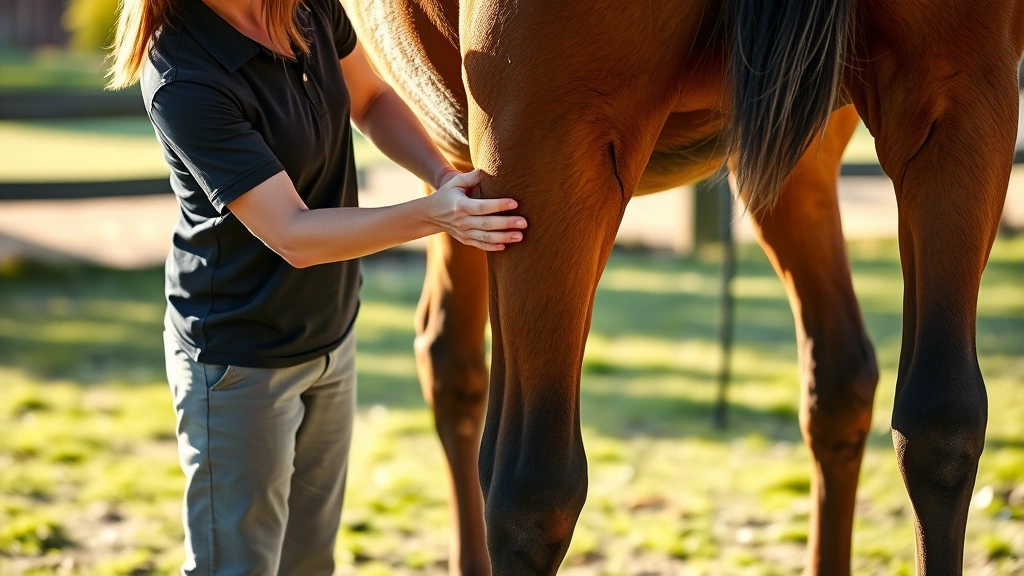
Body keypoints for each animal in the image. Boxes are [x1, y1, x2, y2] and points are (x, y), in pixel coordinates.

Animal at [342, 0, 1024, 574]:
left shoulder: (962, 87)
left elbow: (941, 425)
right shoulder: (540, 133)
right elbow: (529, 492)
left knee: (841, 380)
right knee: (472, 400)